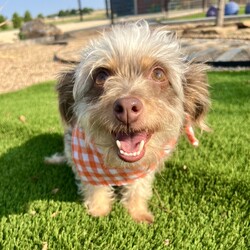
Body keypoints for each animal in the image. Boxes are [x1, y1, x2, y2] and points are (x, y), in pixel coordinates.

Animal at [47, 20, 210, 223]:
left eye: (158, 74)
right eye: (101, 76)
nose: (126, 107)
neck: (120, 167)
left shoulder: (144, 170)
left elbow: (138, 189)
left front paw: (138, 213)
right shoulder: (87, 167)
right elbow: (95, 187)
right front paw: (99, 210)